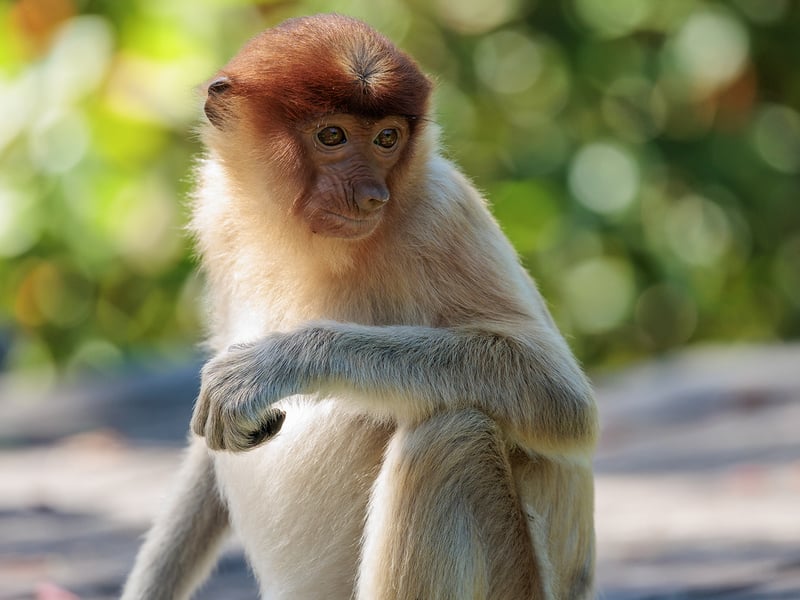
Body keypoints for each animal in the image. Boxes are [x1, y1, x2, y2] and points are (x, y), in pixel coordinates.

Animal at [121, 13, 597, 600]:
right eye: (332, 135)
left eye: (387, 138)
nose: (372, 197)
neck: (306, 242)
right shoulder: (219, 214)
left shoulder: (440, 212)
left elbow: (560, 395)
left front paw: (270, 366)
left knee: (451, 437)